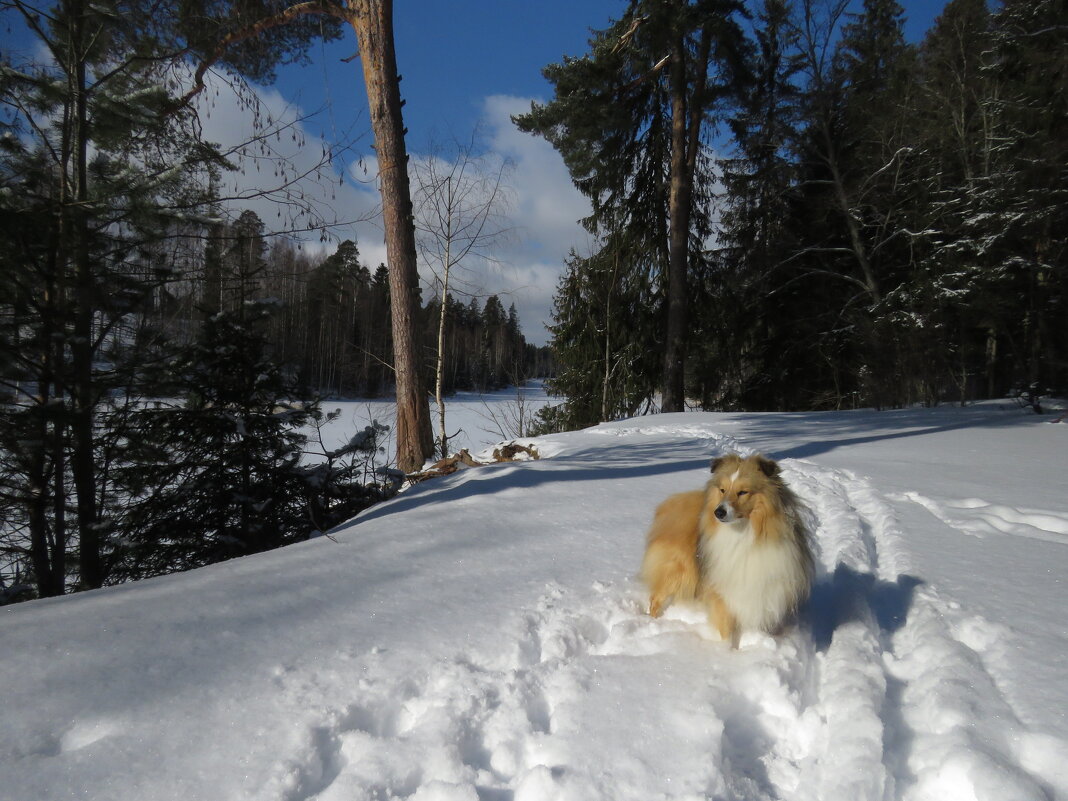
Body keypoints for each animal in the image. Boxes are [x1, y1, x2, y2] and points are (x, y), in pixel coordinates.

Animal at [636, 454, 811, 649]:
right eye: (722, 490)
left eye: (743, 492)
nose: (718, 512)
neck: (744, 534)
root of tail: (672, 504)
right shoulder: (722, 590)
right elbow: (726, 628)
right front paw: (727, 652)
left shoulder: (765, 588)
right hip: (677, 570)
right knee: (656, 599)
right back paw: (653, 622)